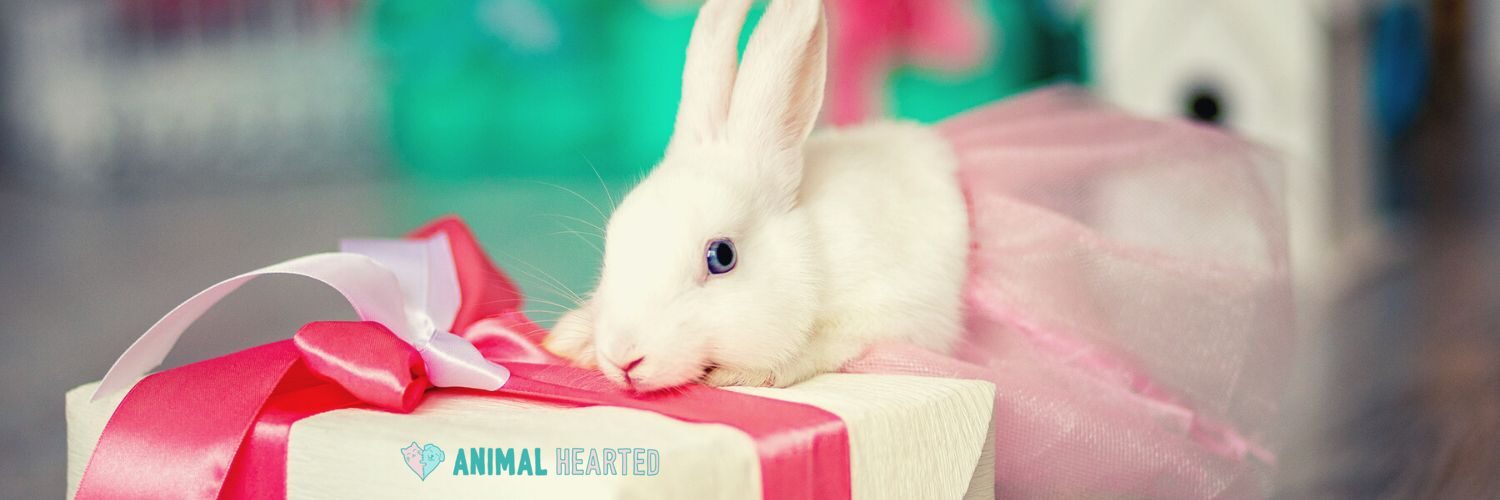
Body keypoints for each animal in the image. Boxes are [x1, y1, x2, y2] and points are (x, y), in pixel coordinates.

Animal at [544, 0, 969, 391]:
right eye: (612, 243)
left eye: (722, 257)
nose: (623, 358)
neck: (816, 251)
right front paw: (568, 339)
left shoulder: (893, 313)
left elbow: (819, 348)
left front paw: (740, 374)